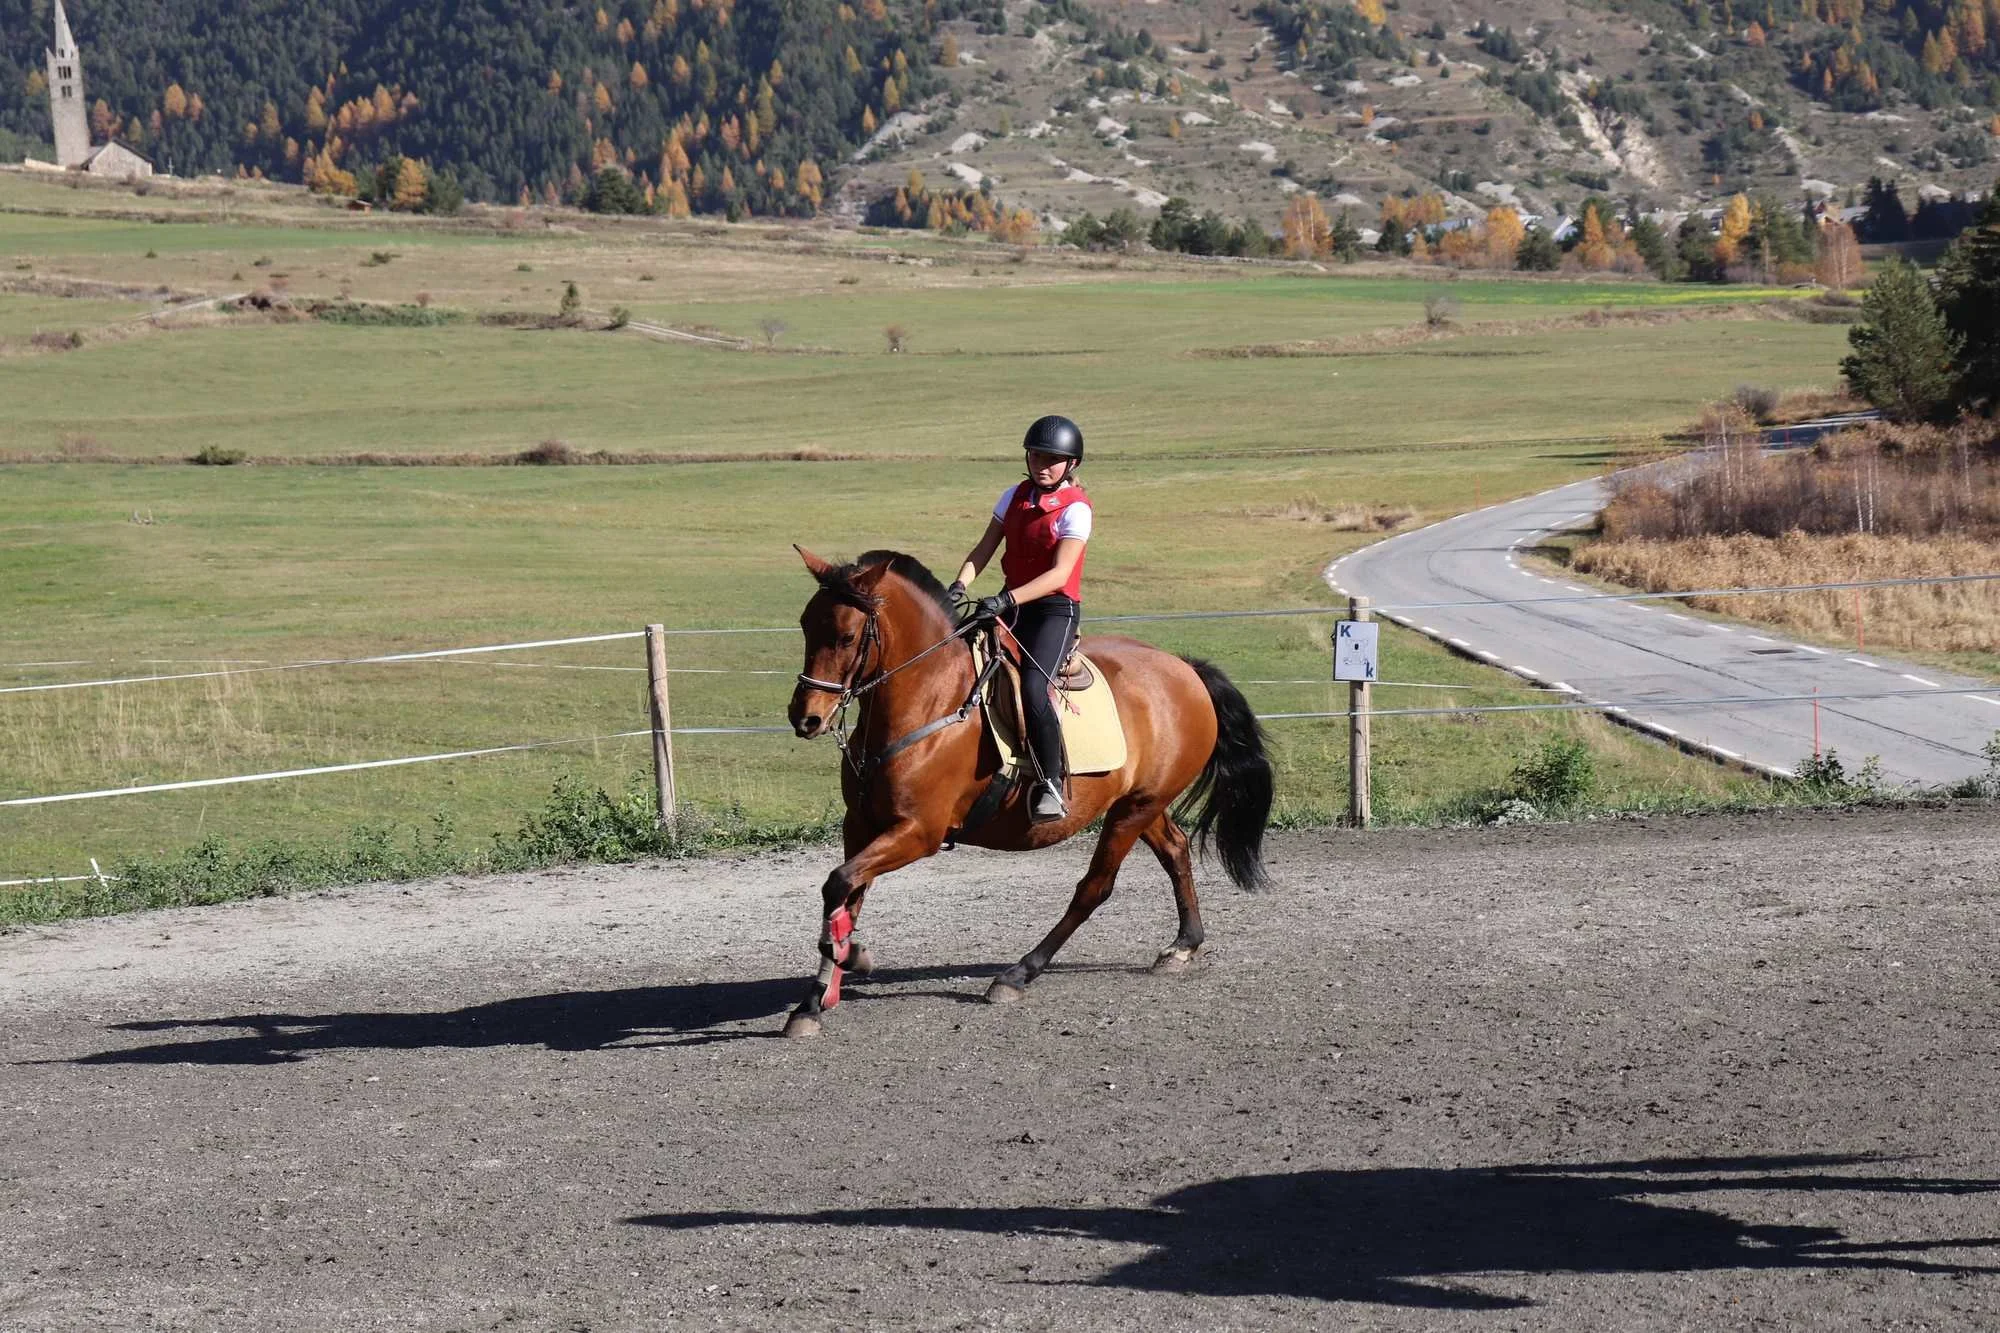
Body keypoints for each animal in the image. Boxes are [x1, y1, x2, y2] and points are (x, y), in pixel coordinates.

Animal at [783, 546, 1274, 1038]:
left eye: (847, 636)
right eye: (805, 623)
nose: (805, 717)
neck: (931, 700)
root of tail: (1184, 668)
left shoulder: (918, 832)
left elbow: (840, 883)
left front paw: (853, 957)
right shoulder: (861, 824)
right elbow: (845, 893)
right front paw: (813, 1001)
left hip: (1134, 810)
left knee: (1095, 887)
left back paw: (1019, 973)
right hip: (1139, 803)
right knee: (1175, 849)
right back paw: (1184, 945)